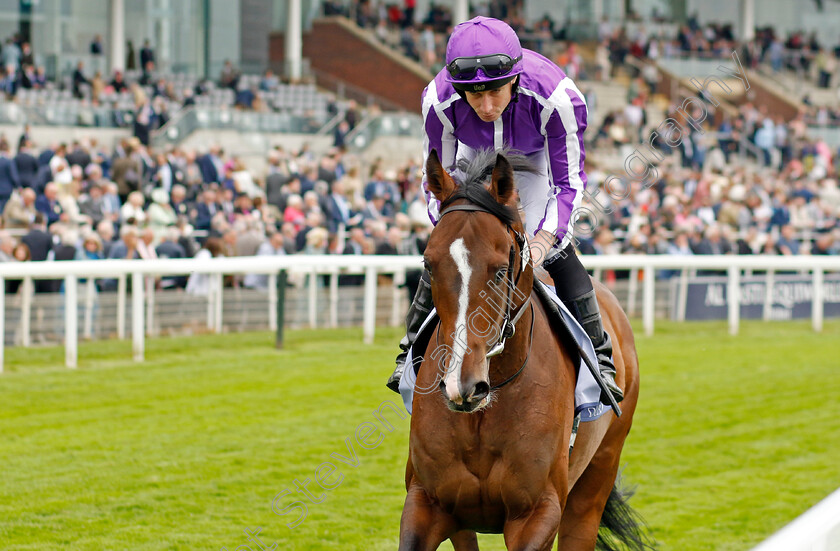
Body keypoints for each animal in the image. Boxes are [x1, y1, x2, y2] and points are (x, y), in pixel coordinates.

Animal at [398, 151, 648, 551]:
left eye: (501, 271)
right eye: (428, 265)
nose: (462, 385)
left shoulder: (538, 511)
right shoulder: (427, 501)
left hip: (595, 480)